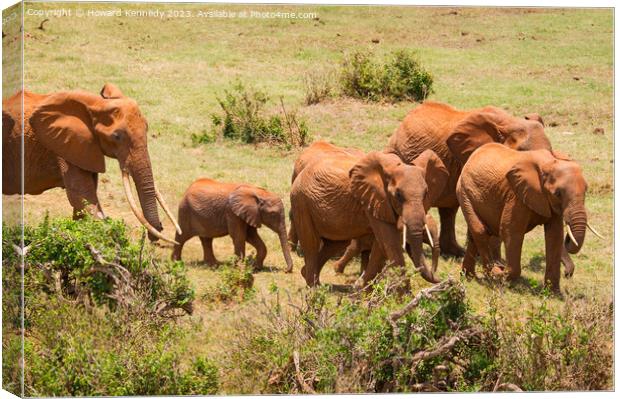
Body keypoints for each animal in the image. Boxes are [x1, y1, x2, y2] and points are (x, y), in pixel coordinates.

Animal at [2, 84, 178, 244]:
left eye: (147, 129)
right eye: (117, 136)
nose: (159, 228)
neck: (96, 105)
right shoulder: (67, 147)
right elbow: (82, 199)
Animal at [290, 148, 446, 286]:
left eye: (426, 193)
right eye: (398, 195)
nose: (439, 277)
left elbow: (381, 246)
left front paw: (362, 288)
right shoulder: (375, 200)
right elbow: (390, 243)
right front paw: (405, 297)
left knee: (335, 243)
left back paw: (311, 278)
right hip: (301, 201)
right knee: (311, 243)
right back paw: (313, 289)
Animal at [458, 144, 600, 290]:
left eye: (586, 190)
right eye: (558, 194)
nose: (567, 274)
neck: (548, 164)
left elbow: (554, 236)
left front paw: (553, 292)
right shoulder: (516, 196)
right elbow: (511, 231)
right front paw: (503, 277)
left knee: (475, 235)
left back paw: (469, 277)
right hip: (464, 191)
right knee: (480, 231)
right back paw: (492, 274)